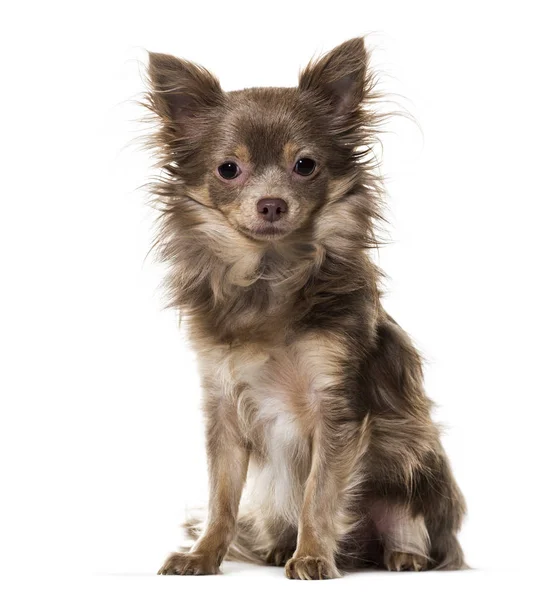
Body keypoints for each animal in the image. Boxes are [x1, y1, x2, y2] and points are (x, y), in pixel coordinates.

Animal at [144, 38, 464, 580]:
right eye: (228, 169)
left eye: (305, 166)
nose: (272, 203)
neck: (270, 276)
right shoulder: (224, 411)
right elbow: (221, 498)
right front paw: (203, 556)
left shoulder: (335, 409)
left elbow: (320, 493)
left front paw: (313, 555)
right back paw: (278, 549)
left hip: (412, 460)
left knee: (408, 523)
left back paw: (403, 556)